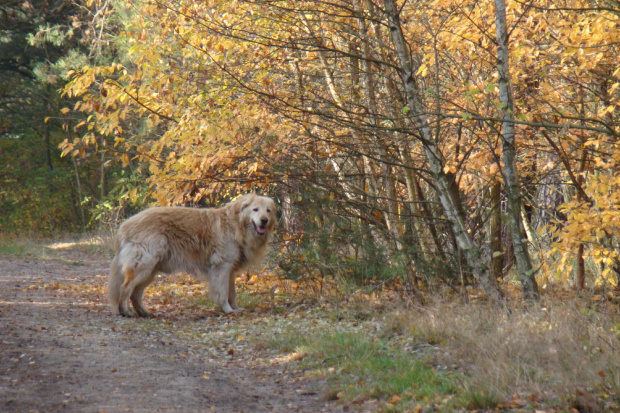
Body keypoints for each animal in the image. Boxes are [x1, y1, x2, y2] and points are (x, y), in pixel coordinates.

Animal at [108, 193, 276, 316]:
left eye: (268, 210)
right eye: (255, 209)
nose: (264, 220)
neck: (236, 226)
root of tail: (125, 225)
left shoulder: (230, 271)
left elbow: (232, 293)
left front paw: (234, 308)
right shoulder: (222, 267)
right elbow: (223, 293)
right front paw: (227, 310)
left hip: (150, 271)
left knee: (135, 293)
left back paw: (144, 313)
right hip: (144, 266)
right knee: (126, 288)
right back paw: (126, 312)